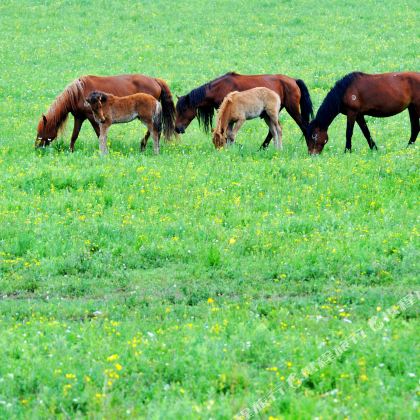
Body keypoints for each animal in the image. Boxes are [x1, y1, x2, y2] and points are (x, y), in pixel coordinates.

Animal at [34, 74, 176, 152]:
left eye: (42, 131)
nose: (37, 147)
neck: (79, 93)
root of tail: (155, 80)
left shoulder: (94, 118)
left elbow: (99, 134)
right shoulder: (79, 118)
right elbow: (74, 136)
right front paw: (71, 151)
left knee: (152, 130)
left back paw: (143, 145)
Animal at [172, 72, 314, 149]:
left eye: (183, 109)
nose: (177, 128)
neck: (219, 88)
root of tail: (294, 80)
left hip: (292, 109)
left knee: (303, 126)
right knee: (273, 130)